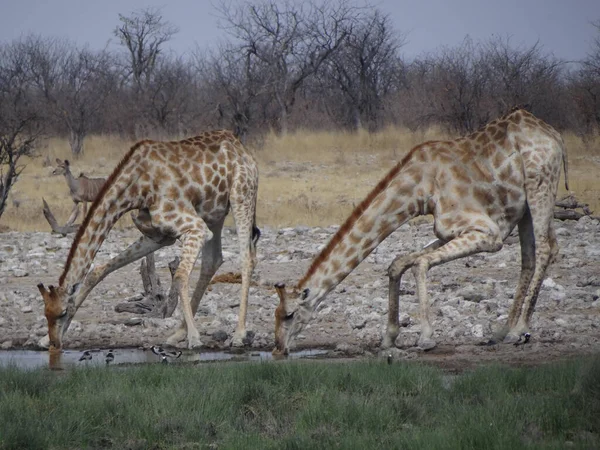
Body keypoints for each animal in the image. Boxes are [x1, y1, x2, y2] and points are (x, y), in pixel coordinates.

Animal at [36, 128, 258, 350]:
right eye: (46, 313)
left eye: (63, 312)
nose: (55, 343)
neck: (136, 188)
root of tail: (241, 148)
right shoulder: (157, 236)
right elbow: (97, 271)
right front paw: (43, 339)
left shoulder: (195, 227)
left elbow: (179, 276)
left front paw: (195, 339)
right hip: (214, 212)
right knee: (213, 261)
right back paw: (178, 334)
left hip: (241, 196)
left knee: (247, 257)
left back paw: (238, 335)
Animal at [274, 109, 568, 356]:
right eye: (274, 314)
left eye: (289, 315)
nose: (278, 349)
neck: (419, 189)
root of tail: (555, 136)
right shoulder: (448, 231)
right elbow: (399, 262)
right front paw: (389, 337)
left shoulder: (489, 233)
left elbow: (420, 263)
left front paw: (425, 337)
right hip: (525, 207)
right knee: (531, 256)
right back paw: (503, 331)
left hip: (541, 185)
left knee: (545, 249)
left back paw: (519, 330)